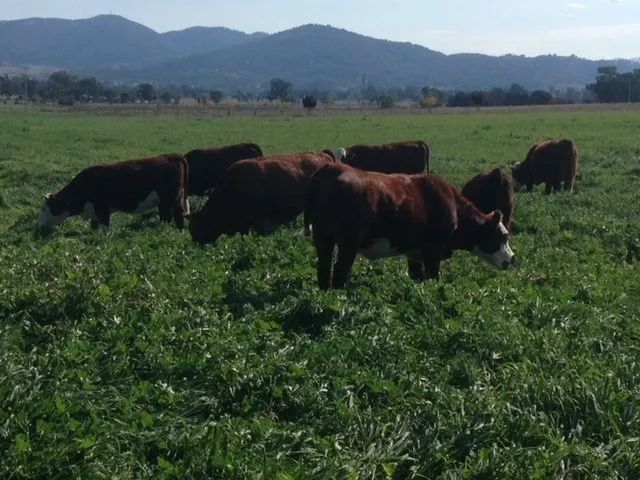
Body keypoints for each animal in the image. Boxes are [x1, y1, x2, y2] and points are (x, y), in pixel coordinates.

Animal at [39, 154, 189, 234]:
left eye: (44, 209)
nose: (40, 225)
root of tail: (173, 156)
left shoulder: (102, 208)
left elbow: (105, 226)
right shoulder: (94, 212)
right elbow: (94, 225)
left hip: (166, 202)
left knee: (166, 217)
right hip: (178, 199)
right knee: (179, 214)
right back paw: (179, 231)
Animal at [304, 163, 515, 290]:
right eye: (503, 236)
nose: (513, 259)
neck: (452, 204)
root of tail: (331, 168)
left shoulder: (415, 253)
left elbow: (417, 277)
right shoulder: (432, 251)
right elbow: (432, 277)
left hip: (323, 238)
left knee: (324, 270)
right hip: (348, 243)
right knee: (340, 272)